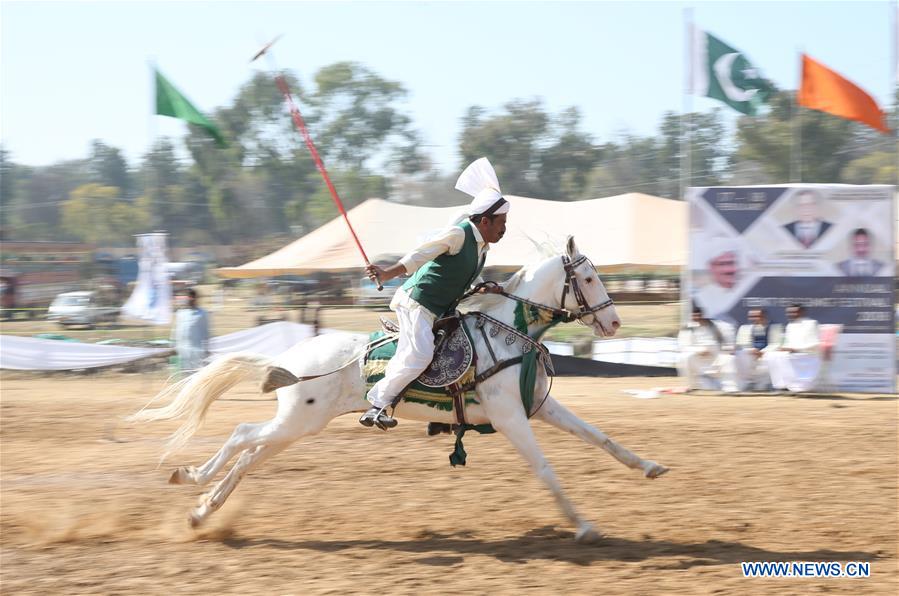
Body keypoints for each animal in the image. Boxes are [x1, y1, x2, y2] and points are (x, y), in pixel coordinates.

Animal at [128, 236, 668, 540]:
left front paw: (650, 467)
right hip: (299, 420)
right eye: (590, 278)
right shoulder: (511, 418)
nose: (615, 323)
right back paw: (190, 479)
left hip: (296, 427)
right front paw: (585, 527)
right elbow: (547, 471)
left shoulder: (539, 408)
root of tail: (290, 359)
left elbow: (600, 437)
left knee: (248, 455)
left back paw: (202, 512)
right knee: (241, 434)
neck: (508, 332)